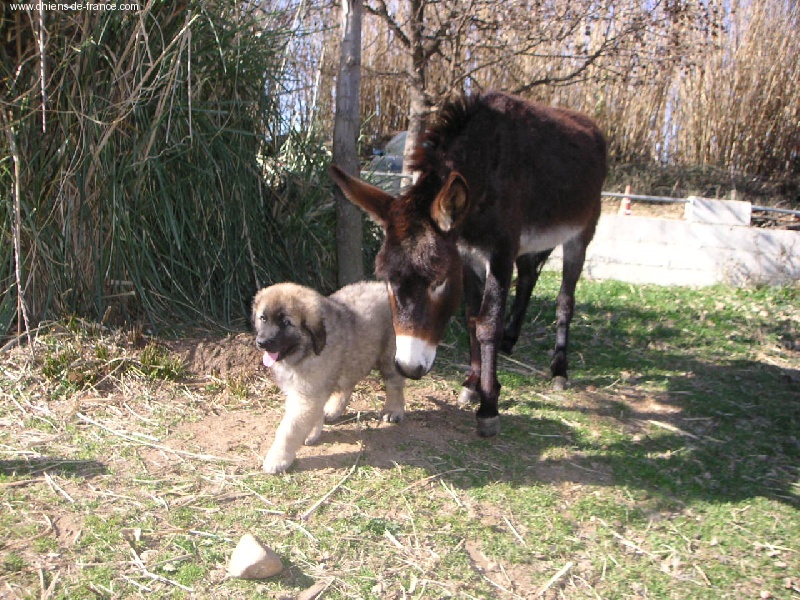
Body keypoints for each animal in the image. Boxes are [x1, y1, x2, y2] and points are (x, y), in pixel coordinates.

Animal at [253, 282, 406, 474]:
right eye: (263, 318)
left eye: (286, 323)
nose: (262, 342)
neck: (306, 350)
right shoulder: (313, 391)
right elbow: (312, 414)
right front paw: (313, 432)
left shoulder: (308, 394)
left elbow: (289, 429)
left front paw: (278, 458)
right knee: (348, 383)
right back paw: (333, 409)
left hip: (389, 355)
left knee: (394, 382)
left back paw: (393, 410)